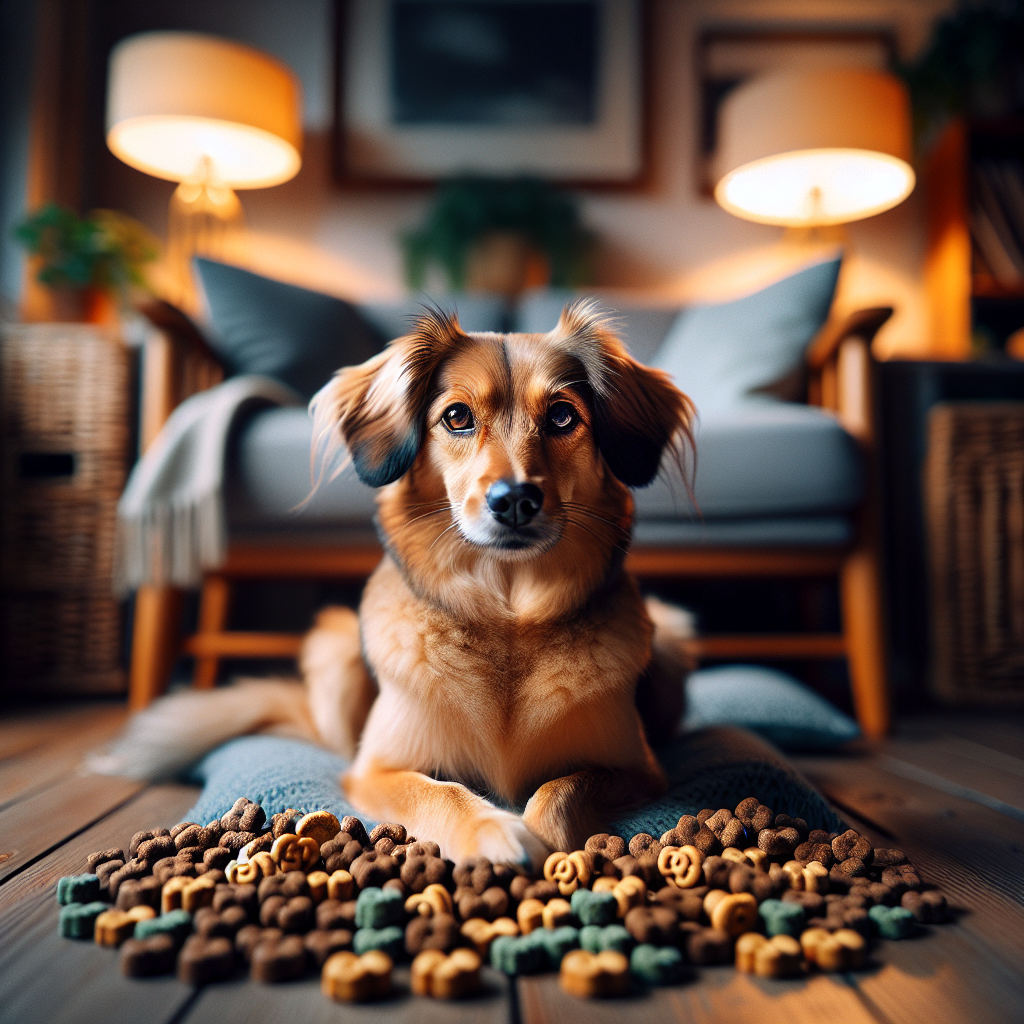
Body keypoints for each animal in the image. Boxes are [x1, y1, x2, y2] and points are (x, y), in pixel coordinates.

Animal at [96, 299, 696, 868]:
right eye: (457, 416)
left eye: (563, 416)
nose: (514, 500)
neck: (508, 615)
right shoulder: (377, 770)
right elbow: (440, 792)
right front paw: (495, 831)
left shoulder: (637, 769)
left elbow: (563, 789)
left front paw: (549, 841)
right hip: (335, 650)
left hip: (670, 639)